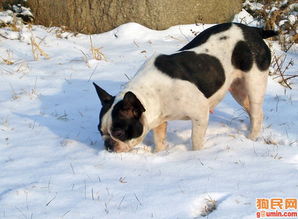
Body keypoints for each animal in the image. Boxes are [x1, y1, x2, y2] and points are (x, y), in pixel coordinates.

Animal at [93, 22, 278, 152]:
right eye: (100, 131)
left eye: (119, 133)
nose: (108, 145)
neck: (149, 93)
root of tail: (254, 31)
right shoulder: (160, 121)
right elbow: (159, 140)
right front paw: (159, 154)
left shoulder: (200, 114)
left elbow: (196, 140)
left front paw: (196, 155)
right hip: (238, 90)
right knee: (251, 111)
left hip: (254, 83)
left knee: (256, 111)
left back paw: (251, 137)